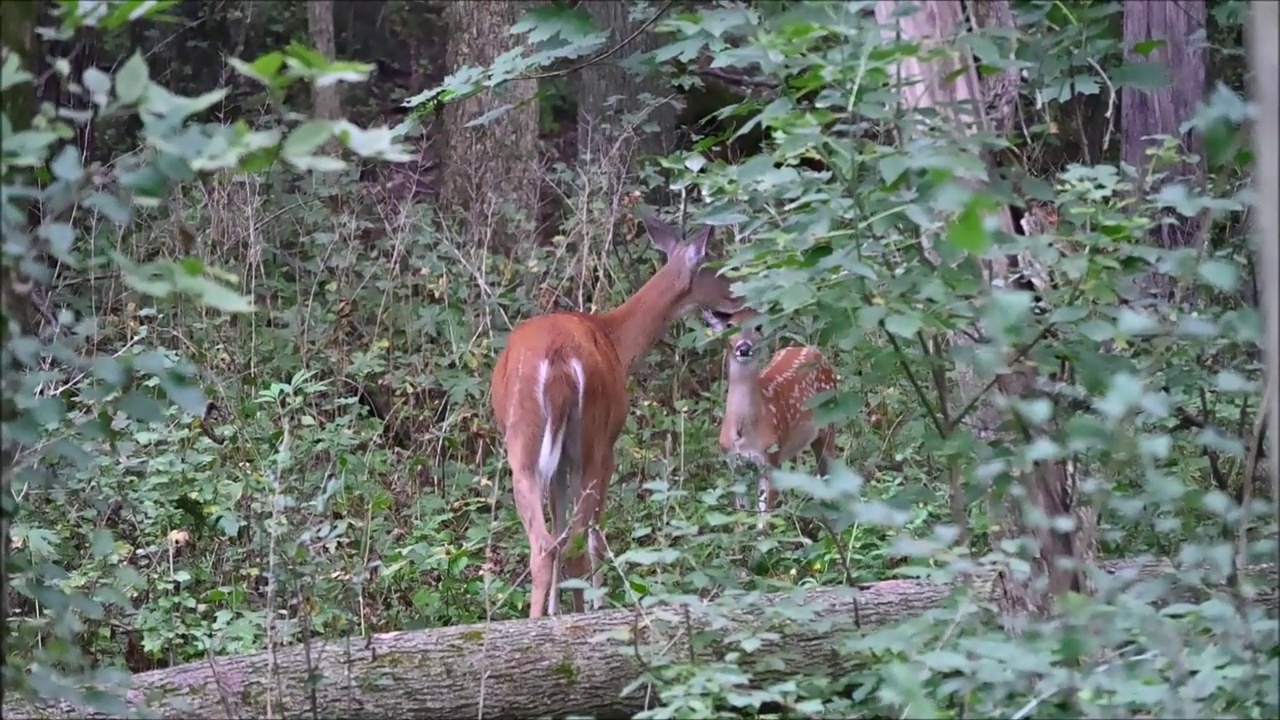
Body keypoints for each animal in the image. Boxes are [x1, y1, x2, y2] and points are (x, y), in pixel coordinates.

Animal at [494, 208, 747, 617]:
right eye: (718, 268)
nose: (743, 301)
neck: (615, 339)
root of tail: (559, 362)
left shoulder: (559, 461)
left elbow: (559, 522)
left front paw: (555, 610)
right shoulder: (608, 444)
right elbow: (595, 535)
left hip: (524, 442)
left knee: (546, 543)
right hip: (592, 438)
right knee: (576, 542)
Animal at [701, 304, 839, 530]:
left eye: (758, 326)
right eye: (729, 326)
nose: (744, 348)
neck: (744, 431)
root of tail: (815, 350)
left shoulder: (770, 459)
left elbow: (763, 523)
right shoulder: (733, 463)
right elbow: (741, 517)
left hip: (829, 424)